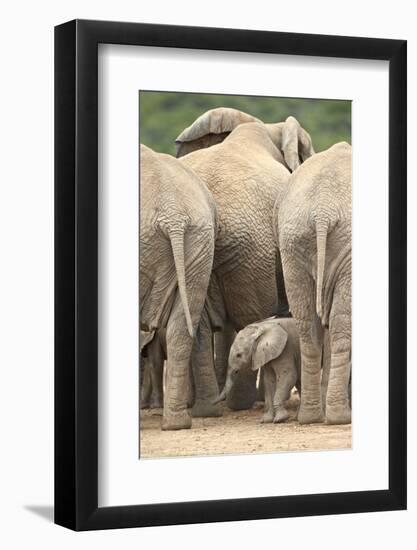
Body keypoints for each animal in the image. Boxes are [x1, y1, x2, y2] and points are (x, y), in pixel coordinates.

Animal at [276, 143, 352, 426]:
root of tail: (323, 210)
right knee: (341, 324)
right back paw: (340, 418)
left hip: (292, 242)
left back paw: (309, 417)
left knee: (307, 324)